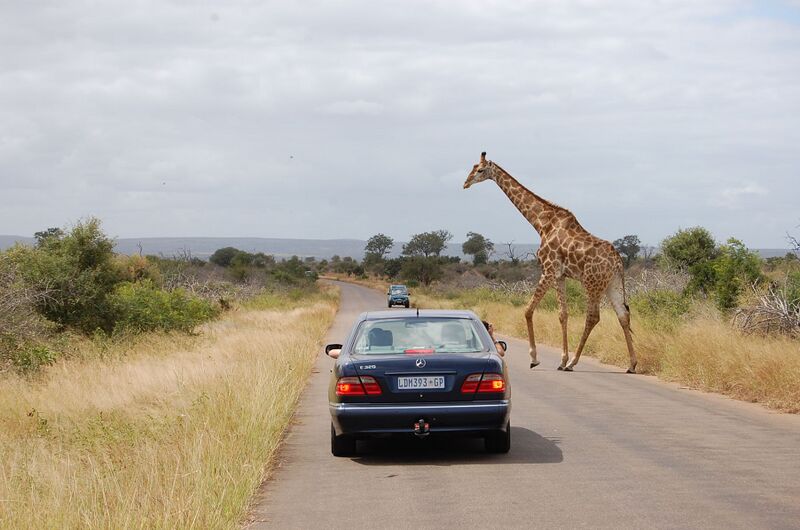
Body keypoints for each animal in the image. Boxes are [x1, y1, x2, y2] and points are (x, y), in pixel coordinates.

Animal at [463, 152, 637, 373]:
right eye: (472, 167)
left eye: (480, 170)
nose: (465, 183)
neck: (541, 223)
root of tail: (618, 262)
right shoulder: (560, 275)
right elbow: (563, 314)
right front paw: (561, 360)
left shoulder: (548, 269)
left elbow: (528, 310)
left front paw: (535, 358)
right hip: (612, 284)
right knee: (623, 315)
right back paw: (632, 364)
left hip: (592, 283)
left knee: (593, 316)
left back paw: (574, 363)